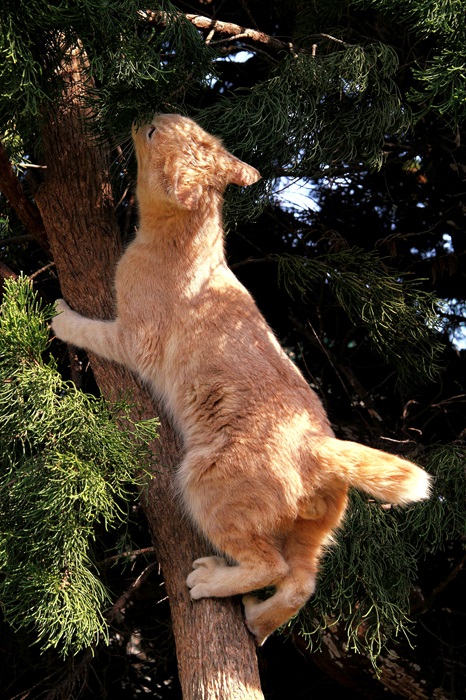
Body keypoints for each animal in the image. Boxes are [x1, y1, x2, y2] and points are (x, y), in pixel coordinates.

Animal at [52, 113, 430, 644]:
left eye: (153, 134)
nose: (143, 117)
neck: (185, 245)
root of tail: (320, 444)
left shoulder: (131, 338)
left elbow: (89, 329)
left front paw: (62, 318)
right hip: (308, 536)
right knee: (301, 583)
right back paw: (257, 619)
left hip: (203, 484)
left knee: (270, 566)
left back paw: (212, 581)